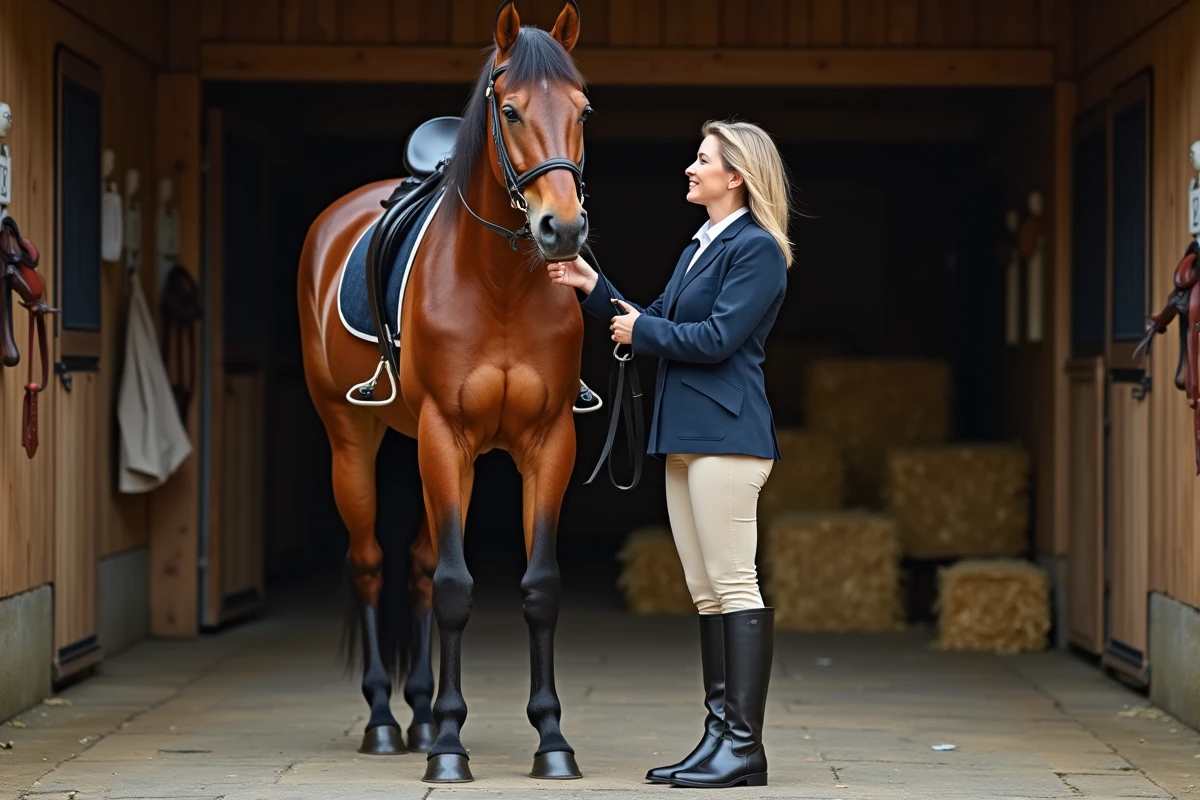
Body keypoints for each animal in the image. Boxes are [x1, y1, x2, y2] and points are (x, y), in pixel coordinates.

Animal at [298, 0, 602, 783]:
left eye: (583, 109)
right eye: (511, 109)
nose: (562, 229)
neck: (498, 284)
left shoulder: (548, 441)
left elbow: (538, 586)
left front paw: (550, 740)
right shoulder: (444, 435)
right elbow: (458, 587)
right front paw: (450, 752)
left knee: (419, 570)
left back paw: (423, 712)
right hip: (353, 441)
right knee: (373, 566)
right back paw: (384, 719)